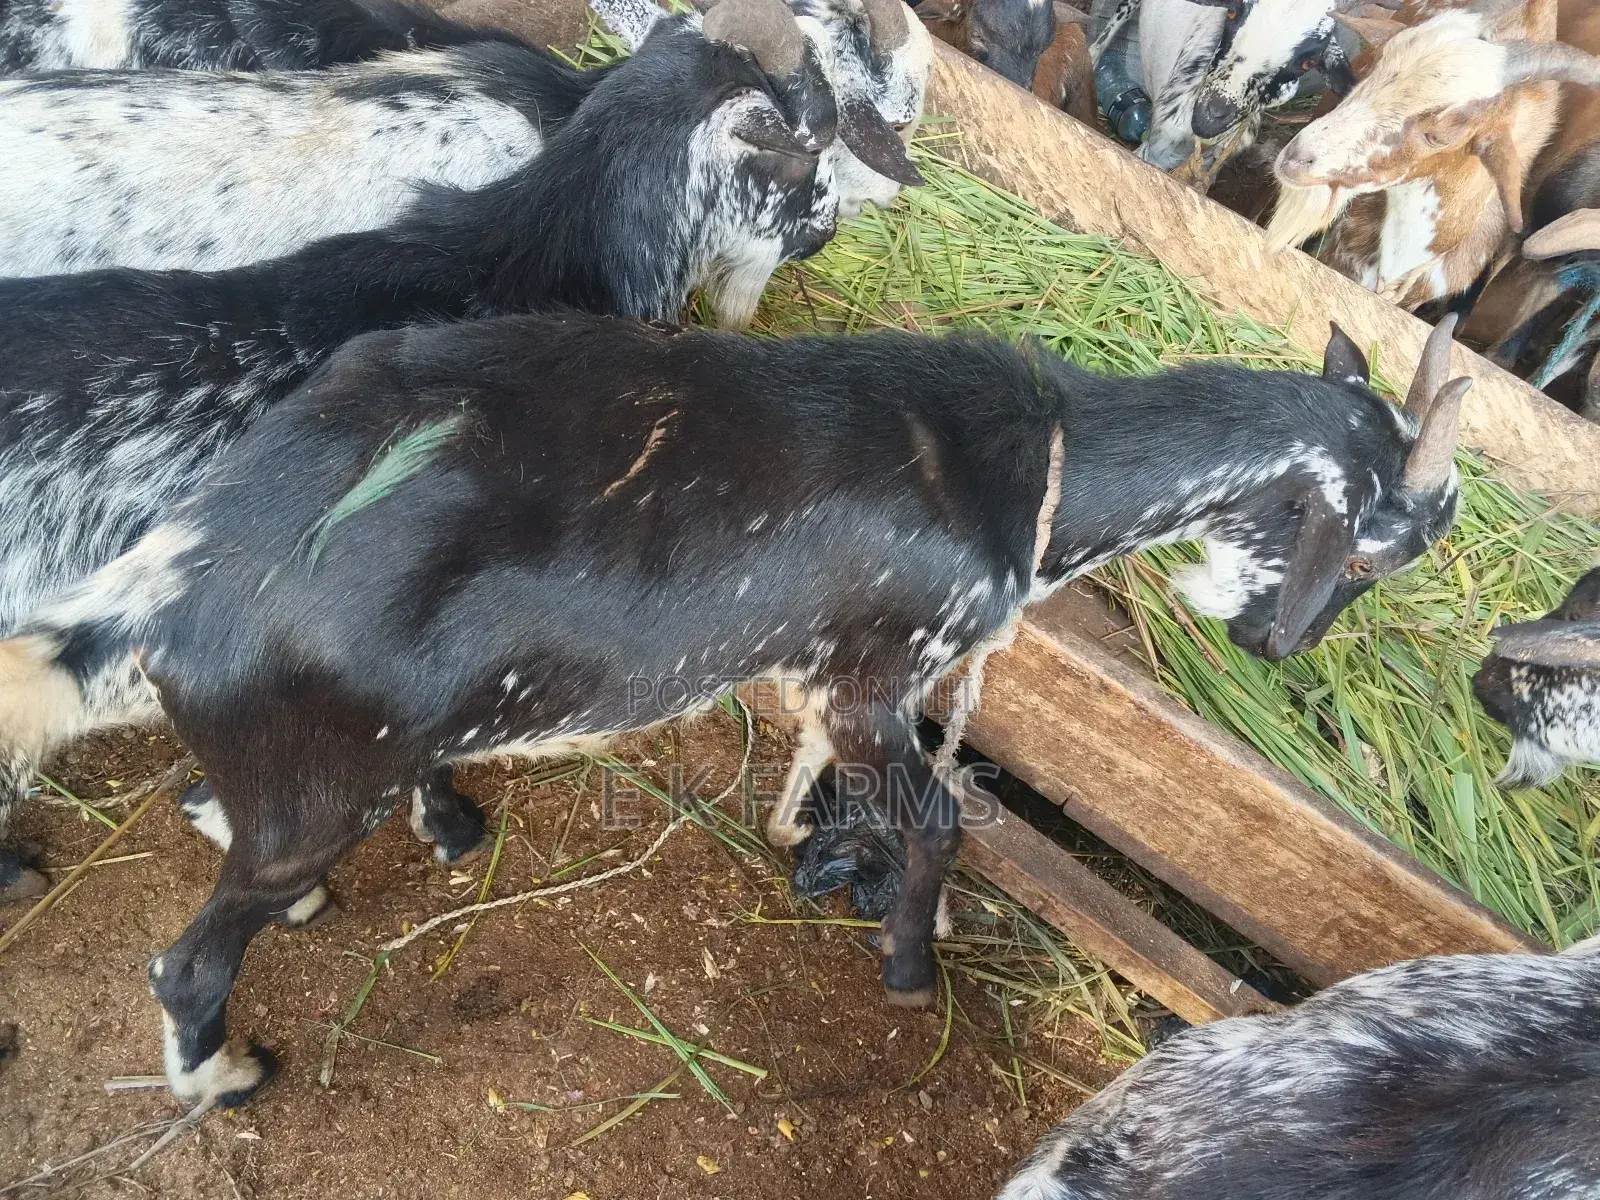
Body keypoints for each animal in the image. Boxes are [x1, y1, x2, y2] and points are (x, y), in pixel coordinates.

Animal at [0, 313, 1466, 1106]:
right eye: (1381, 554)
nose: (1277, 646)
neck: (1035, 476)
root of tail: (172, 577)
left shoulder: (825, 673)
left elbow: (826, 772)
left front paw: (805, 849)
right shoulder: (887, 668)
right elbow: (940, 824)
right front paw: (910, 968)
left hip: (324, 755)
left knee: (225, 812)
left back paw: (421, 838)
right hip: (313, 780)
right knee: (190, 960)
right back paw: (228, 1071)